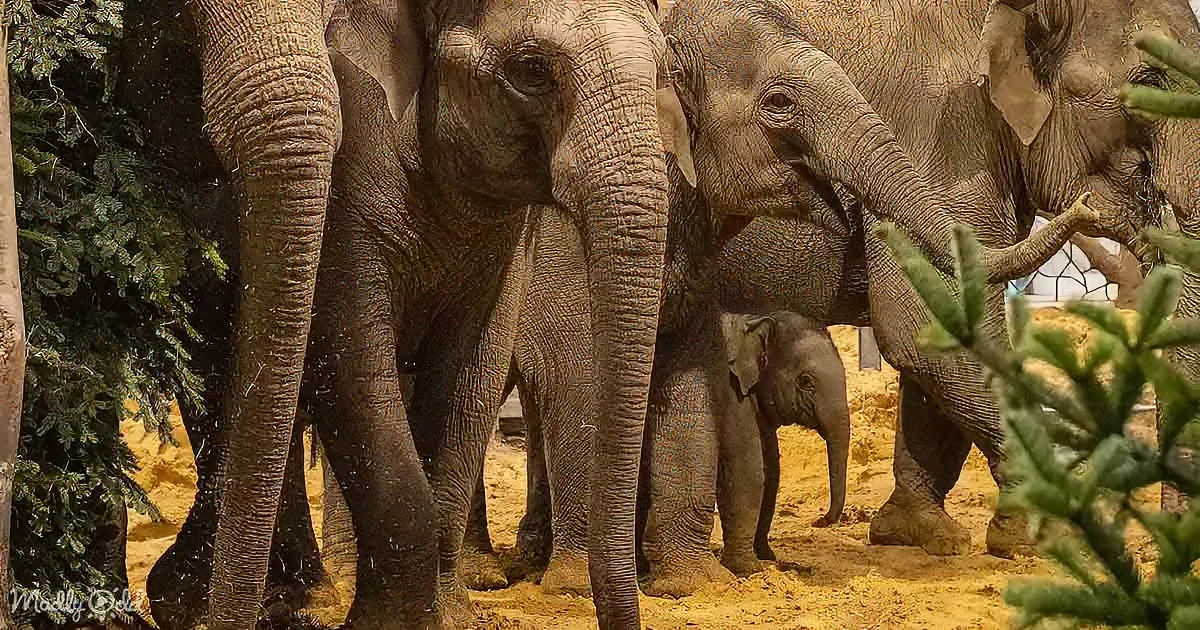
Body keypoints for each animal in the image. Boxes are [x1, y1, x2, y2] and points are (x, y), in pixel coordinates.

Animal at [118, 0, 693, 627]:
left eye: (662, 70)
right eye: (532, 71)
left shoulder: (503, 245)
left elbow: (473, 367)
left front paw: (445, 616)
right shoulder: (350, 186)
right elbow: (349, 358)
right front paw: (385, 621)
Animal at [716, 311, 850, 576]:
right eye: (806, 381)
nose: (818, 520)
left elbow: (772, 470)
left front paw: (767, 557)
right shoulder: (731, 390)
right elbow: (746, 468)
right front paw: (748, 570)